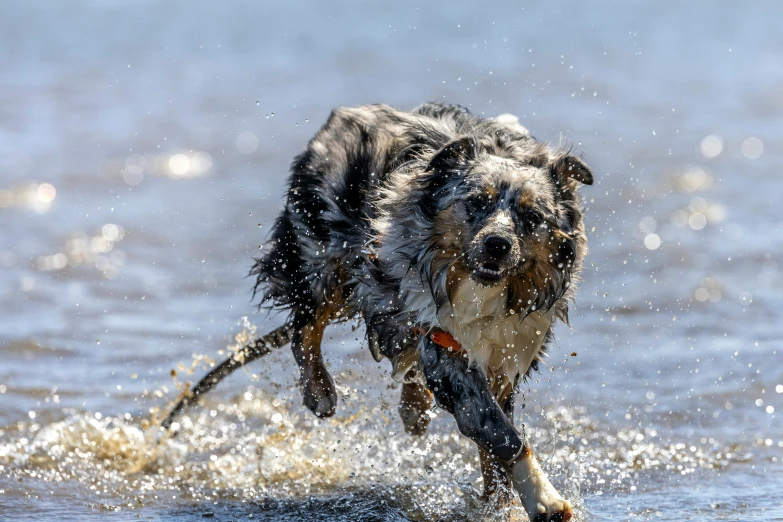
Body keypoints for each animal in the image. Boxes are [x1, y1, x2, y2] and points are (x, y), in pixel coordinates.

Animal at [165, 102, 596, 520]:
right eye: (475, 202)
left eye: (533, 217)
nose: (497, 244)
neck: (485, 290)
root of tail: (339, 119)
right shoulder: (444, 342)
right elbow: (500, 434)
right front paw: (545, 500)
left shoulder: (506, 353)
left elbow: (493, 447)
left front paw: (500, 504)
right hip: (322, 258)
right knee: (306, 326)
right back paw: (320, 390)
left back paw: (414, 406)